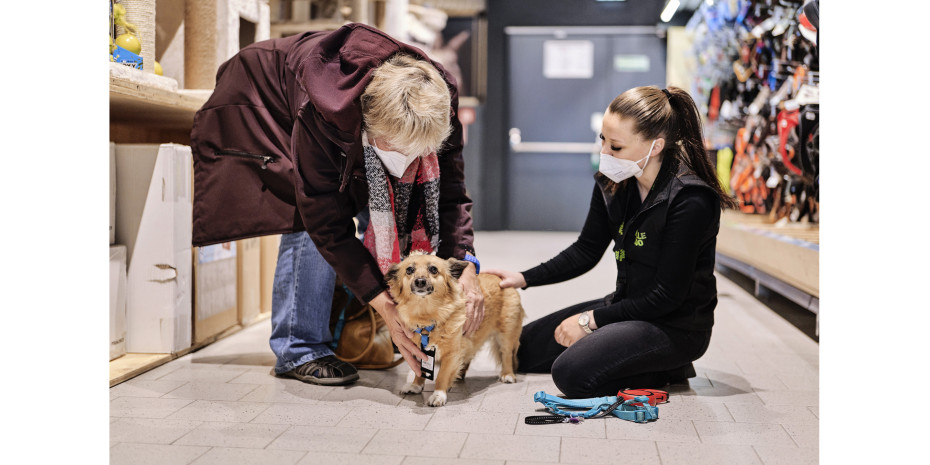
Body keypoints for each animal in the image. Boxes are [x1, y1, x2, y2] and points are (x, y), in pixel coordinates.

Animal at [384, 250, 524, 406]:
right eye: (409, 270)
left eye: (433, 269)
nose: (420, 281)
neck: (427, 316)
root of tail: (501, 279)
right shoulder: (418, 352)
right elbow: (420, 372)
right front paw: (416, 385)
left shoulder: (451, 354)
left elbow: (442, 376)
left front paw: (438, 395)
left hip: (506, 336)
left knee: (506, 355)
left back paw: (507, 375)